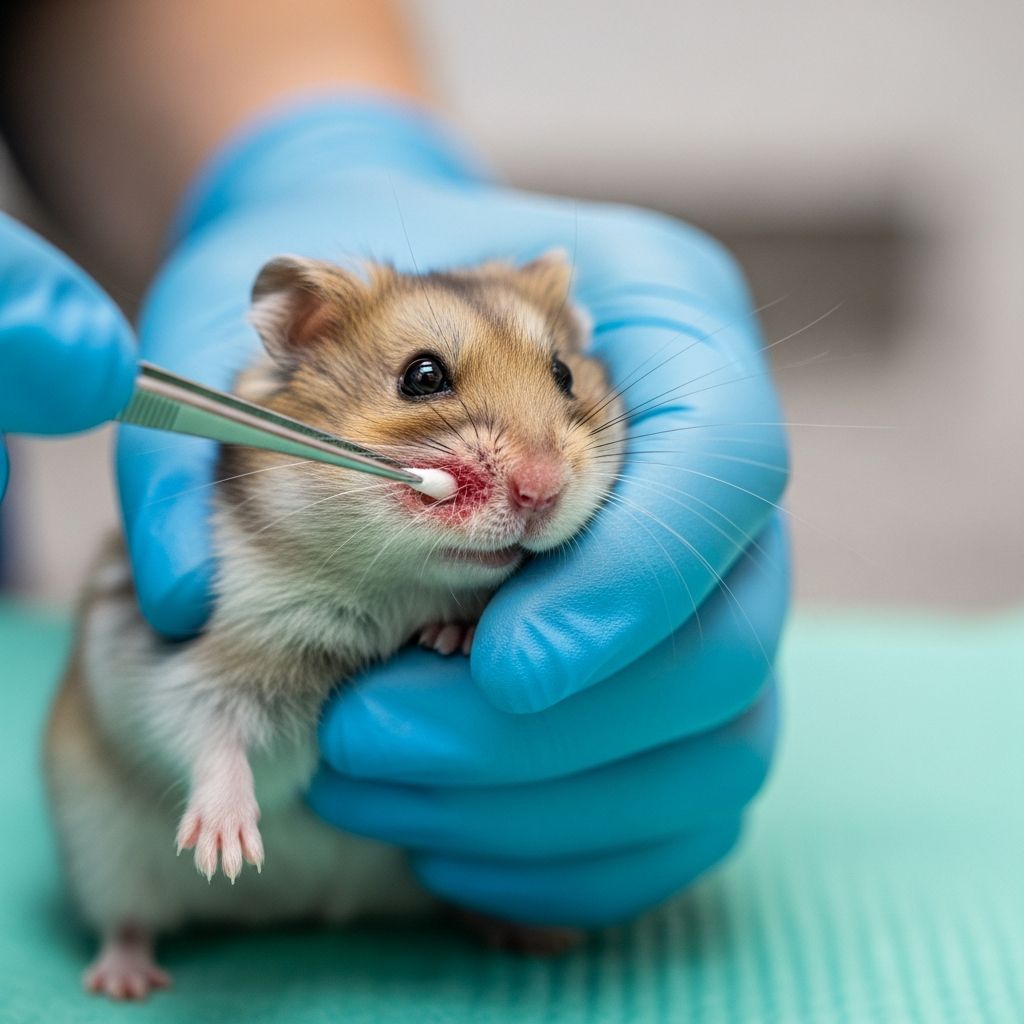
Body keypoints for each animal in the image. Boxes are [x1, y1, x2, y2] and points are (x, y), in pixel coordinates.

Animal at [45, 252, 625, 1000]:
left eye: (564, 374)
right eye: (423, 376)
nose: (543, 490)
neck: (393, 586)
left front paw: (453, 636)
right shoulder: (191, 659)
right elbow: (208, 731)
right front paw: (228, 851)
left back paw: (537, 934)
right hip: (99, 846)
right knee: (127, 918)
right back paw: (127, 979)